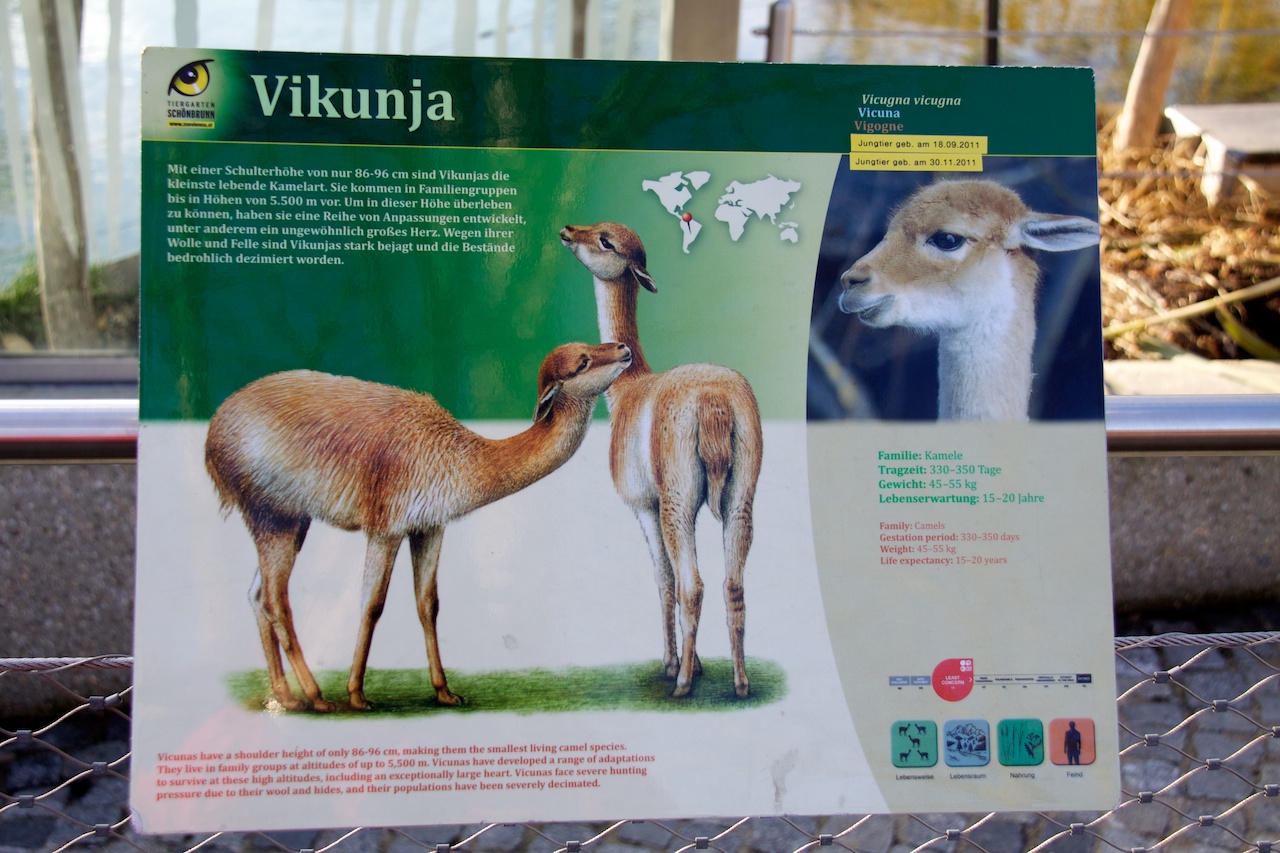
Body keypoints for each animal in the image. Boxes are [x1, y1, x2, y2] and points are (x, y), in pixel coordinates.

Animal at [204, 341, 632, 712]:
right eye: (582, 361)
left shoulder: (429, 527)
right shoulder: (387, 526)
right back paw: (316, 697)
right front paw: (357, 694)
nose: (624, 348)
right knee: (277, 601)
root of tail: (213, 435)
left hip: (292, 522)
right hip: (274, 515)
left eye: (589, 347)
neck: (462, 459)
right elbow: (372, 604)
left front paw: (445, 691)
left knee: (257, 595)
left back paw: (285, 696)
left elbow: (428, 604)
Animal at [560, 221, 762, 699]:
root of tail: (714, 401)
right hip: (741, 499)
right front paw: (699, 663)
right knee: (733, 584)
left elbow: (663, 579)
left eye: (605, 240)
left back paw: (683, 683)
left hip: (678, 503)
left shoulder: (645, 506)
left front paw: (675, 664)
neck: (628, 389)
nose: (568, 230)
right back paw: (741, 683)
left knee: (693, 584)